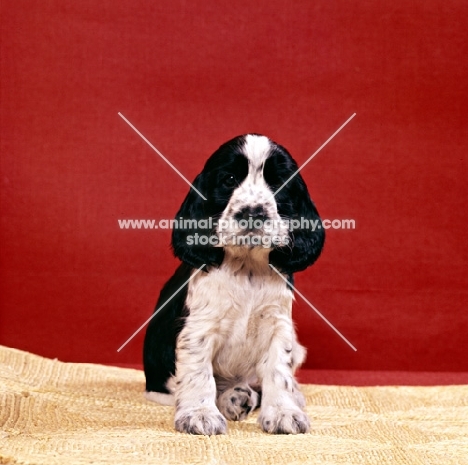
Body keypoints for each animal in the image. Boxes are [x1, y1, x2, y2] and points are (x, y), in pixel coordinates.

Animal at [144, 134, 324, 436]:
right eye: (229, 179)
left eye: (278, 183)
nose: (253, 213)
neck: (247, 266)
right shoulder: (198, 328)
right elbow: (199, 374)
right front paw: (199, 415)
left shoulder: (278, 325)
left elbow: (279, 371)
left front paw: (283, 412)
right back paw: (233, 398)